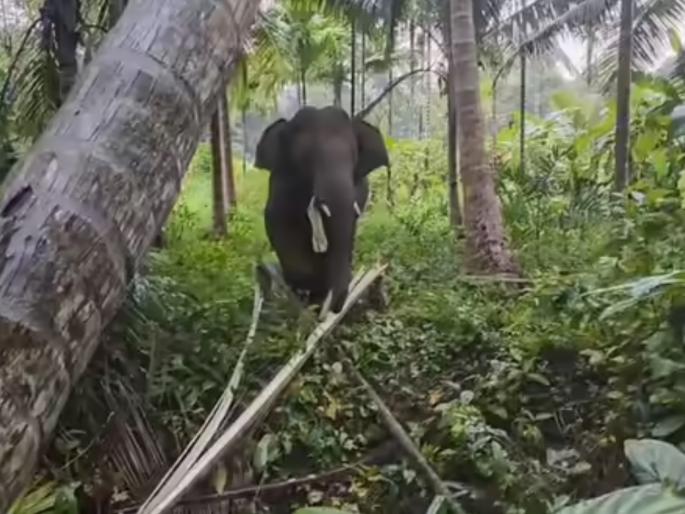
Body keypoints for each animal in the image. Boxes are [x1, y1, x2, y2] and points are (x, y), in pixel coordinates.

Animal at [254, 106, 389, 316]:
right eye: (306, 158)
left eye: (353, 159)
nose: (333, 309)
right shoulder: (281, 189)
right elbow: (282, 229)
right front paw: (307, 290)